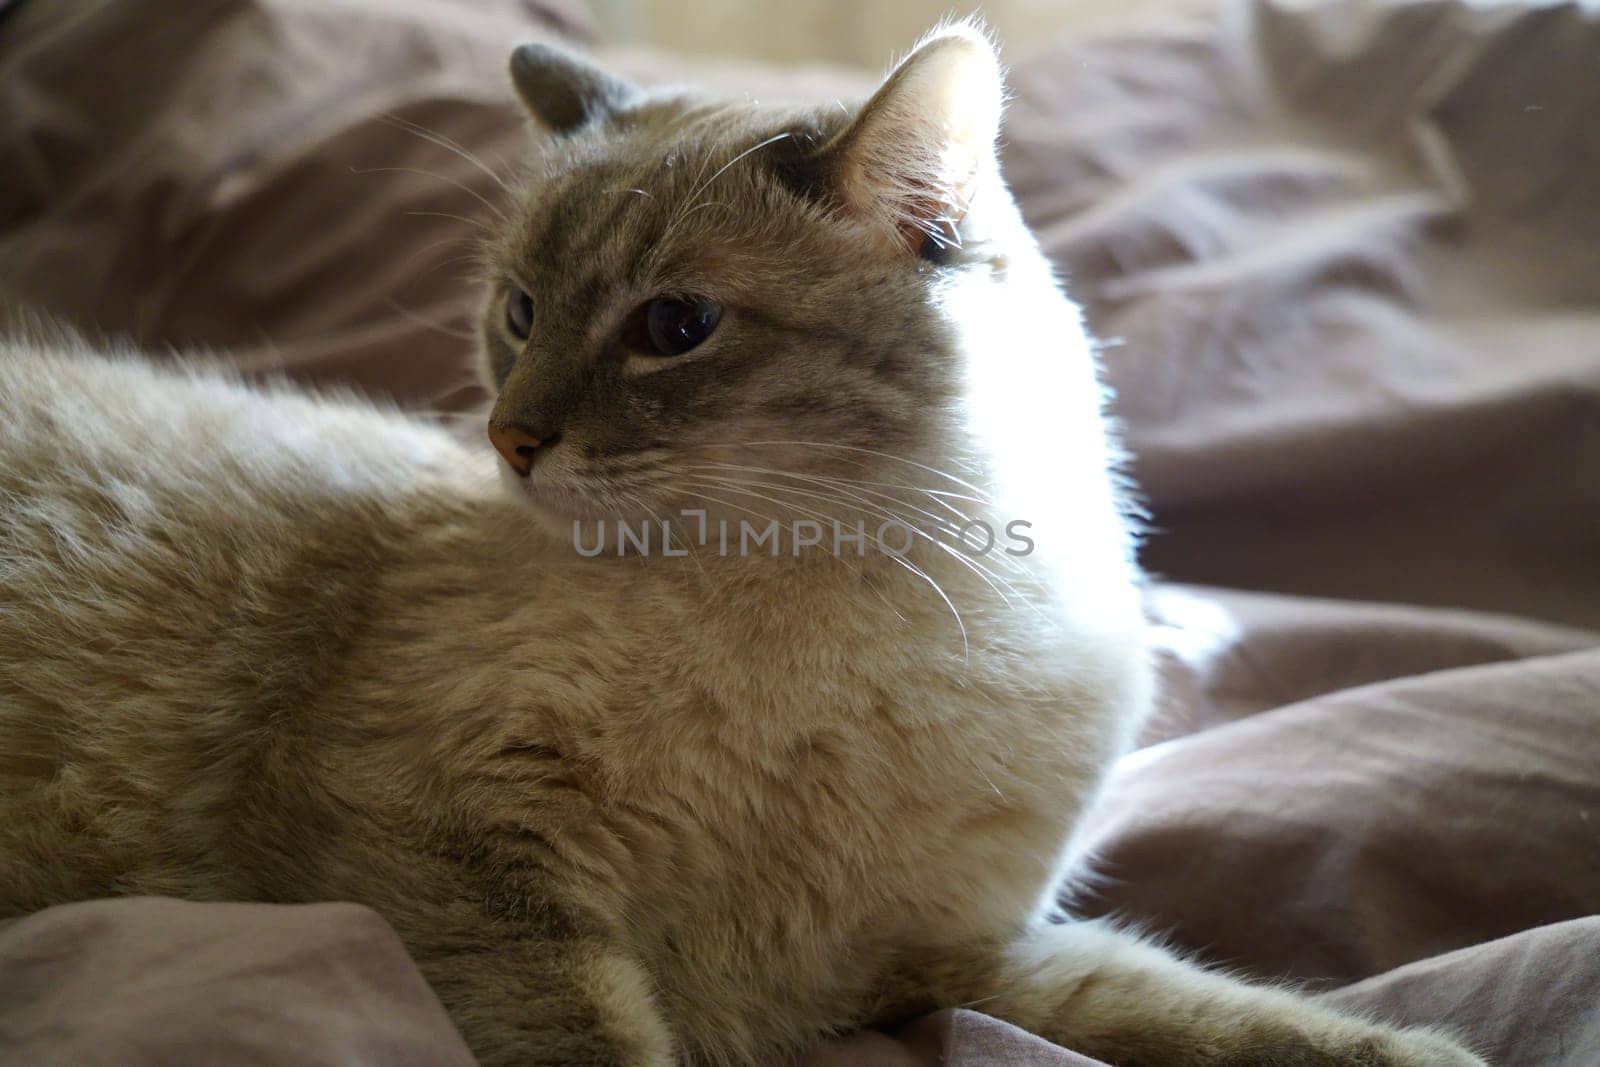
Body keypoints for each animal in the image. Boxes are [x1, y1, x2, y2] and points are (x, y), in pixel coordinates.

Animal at [0, 22, 1484, 1067]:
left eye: (672, 328)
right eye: (520, 312)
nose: (511, 436)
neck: (843, 617)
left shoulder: (938, 958)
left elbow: (1206, 1006)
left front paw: (1419, 1045)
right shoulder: (454, 856)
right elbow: (598, 1038)